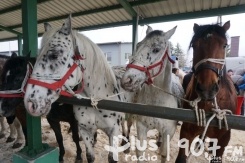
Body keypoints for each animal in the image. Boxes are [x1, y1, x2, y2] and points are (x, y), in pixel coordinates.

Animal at [24, 14, 136, 162]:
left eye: (54, 55)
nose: (30, 103)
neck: (96, 99)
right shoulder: (85, 130)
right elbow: (89, 155)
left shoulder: (113, 132)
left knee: (128, 125)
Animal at [120, 26, 184, 162]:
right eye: (138, 45)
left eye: (156, 49)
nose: (126, 80)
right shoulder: (141, 127)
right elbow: (140, 152)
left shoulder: (169, 132)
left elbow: (164, 154)